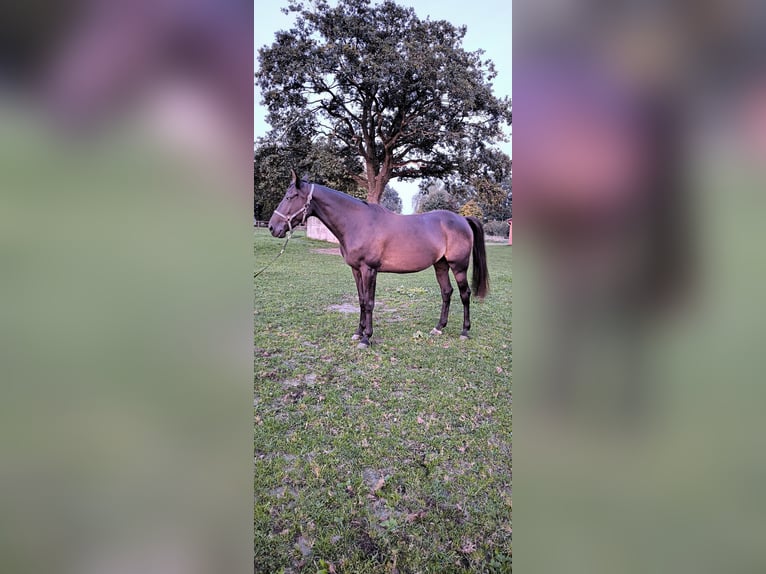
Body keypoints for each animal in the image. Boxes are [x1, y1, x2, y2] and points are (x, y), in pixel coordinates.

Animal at [268, 170, 488, 352]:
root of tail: (462, 219)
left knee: (465, 294)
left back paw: (464, 332)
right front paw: (358, 333)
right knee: (446, 292)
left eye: (290, 197)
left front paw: (367, 338)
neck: (358, 223)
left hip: (458, 267)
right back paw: (438, 328)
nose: (272, 227)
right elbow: (361, 300)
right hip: (440, 265)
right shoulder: (356, 270)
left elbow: (370, 302)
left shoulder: (369, 270)